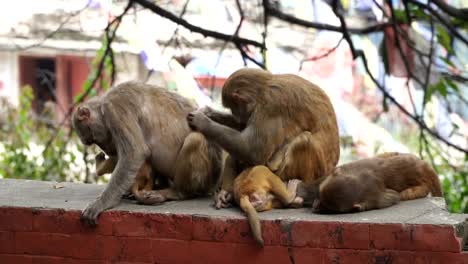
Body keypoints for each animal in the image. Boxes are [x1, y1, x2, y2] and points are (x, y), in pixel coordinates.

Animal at [72, 80, 222, 225]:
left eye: (92, 139)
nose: (106, 150)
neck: (103, 106)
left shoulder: (116, 109)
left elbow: (134, 152)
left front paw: (101, 203)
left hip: (206, 178)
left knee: (195, 140)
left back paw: (178, 192)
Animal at [186, 68, 340, 208]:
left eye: (233, 108)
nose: (235, 114)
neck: (264, 88)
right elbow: (243, 128)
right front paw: (209, 113)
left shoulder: (271, 106)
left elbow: (253, 151)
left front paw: (203, 121)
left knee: (304, 141)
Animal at [294, 152, 444, 213]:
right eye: (319, 197)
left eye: (327, 207)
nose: (315, 206)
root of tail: (423, 166)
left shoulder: (373, 197)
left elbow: (393, 197)